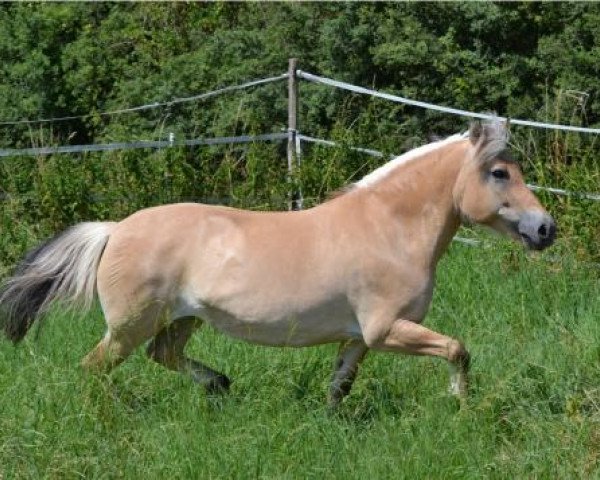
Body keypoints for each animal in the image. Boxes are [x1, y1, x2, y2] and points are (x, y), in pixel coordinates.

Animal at [0, 118, 556, 404]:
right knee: (94, 368)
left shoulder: (357, 338)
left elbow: (339, 386)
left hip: (182, 320)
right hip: (129, 326)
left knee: (164, 355)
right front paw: (460, 403)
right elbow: (458, 349)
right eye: (500, 173)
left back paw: (220, 385)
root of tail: (115, 229)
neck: (389, 230)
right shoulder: (385, 330)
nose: (545, 229)